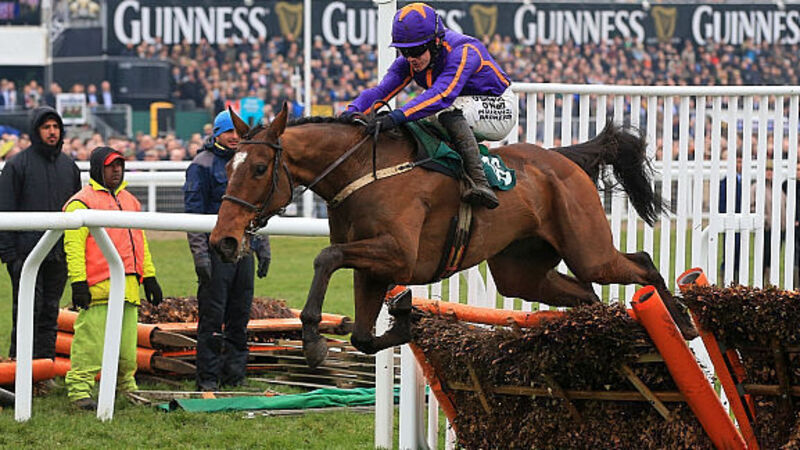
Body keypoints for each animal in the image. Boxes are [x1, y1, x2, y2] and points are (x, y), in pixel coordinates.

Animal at [209, 103, 698, 368]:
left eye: (258, 168)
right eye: (228, 167)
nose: (223, 242)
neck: (362, 170)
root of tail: (565, 158)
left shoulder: (397, 255)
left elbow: (325, 257)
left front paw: (312, 340)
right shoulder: (372, 268)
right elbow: (363, 336)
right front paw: (408, 316)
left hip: (588, 247)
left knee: (640, 263)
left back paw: (684, 321)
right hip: (521, 273)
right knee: (588, 296)